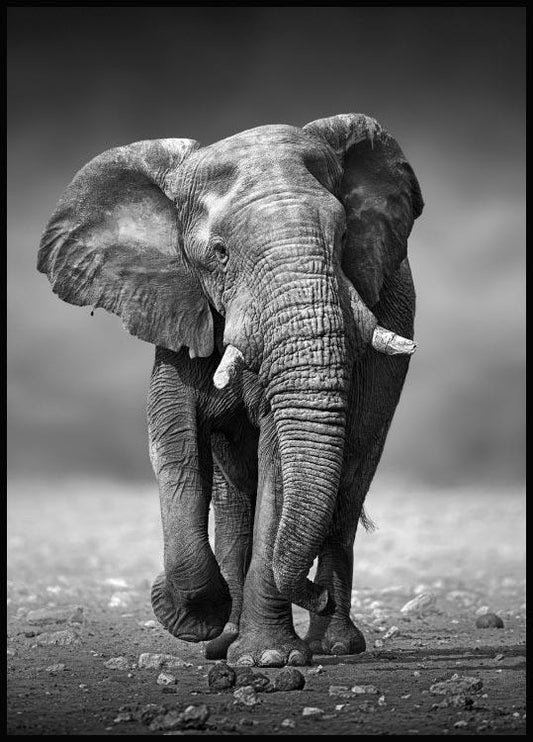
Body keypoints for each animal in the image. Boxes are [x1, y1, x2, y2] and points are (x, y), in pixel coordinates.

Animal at [37, 113, 423, 667]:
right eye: (219, 254)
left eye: (345, 234)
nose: (314, 595)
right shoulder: (177, 307)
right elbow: (174, 442)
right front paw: (194, 618)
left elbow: (278, 458)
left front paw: (270, 659)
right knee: (234, 497)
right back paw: (226, 641)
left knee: (349, 481)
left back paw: (332, 645)